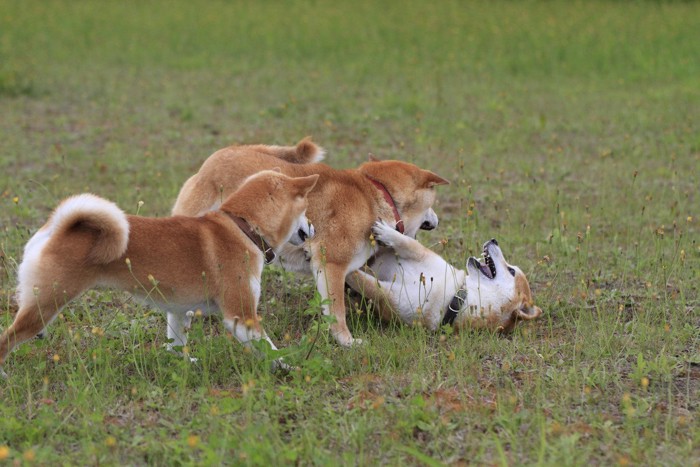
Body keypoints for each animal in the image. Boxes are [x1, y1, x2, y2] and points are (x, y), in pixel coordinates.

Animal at [0, 170, 318, 378]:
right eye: (307, 209)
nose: (315, 228)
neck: (243, 227)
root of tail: (56, 228)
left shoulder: (178, 311)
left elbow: (176, 345)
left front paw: (184, 364)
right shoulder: (241, 316)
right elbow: (270, 348)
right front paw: (289, 369)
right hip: (46, 305)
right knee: (7, 339)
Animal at [171, 137, 448, 346]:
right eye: (432, 204)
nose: (436, 220)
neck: (376, 195)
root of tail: (221, 154)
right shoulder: (332, 265)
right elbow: (338, 312)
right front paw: (347, 342)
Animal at [348, 221, 544, 330]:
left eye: (511, 271)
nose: (494, 240)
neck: (454, 293)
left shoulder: (391, 296)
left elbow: (365, 283)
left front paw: (348, 269)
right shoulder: (421, 254)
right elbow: (406, 242)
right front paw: (389, 233)